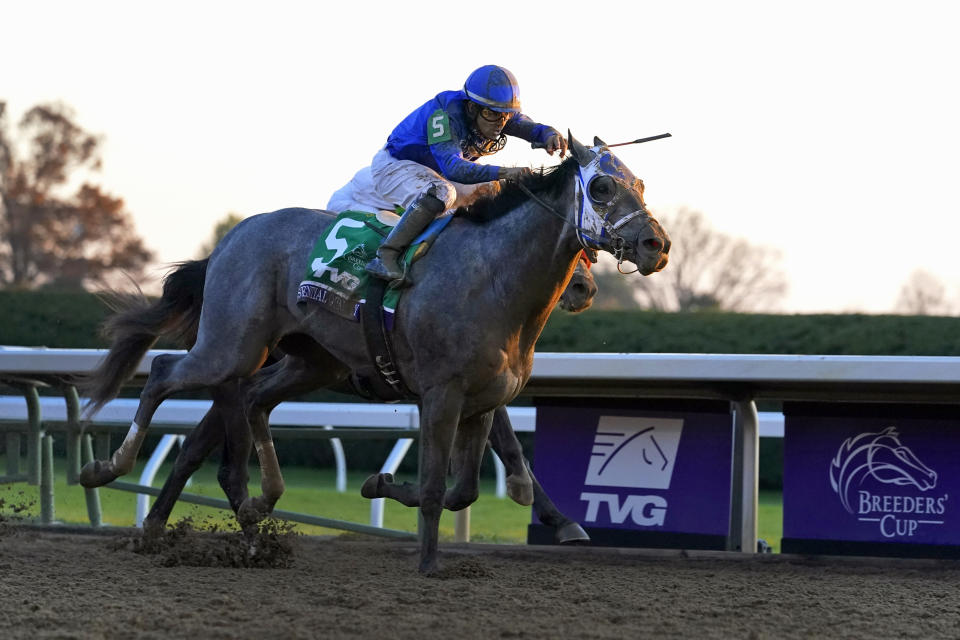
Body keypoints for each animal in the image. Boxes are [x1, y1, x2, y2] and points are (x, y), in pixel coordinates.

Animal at [80, 132, 668, 572]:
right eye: (602, 186)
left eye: (640, 184)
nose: (656, 246)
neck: (493, 278)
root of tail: (230, 239)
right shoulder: (442, 392)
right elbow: (438, 484)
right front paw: (430, 563)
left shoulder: (481, 400)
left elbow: (466, 489)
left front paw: (382, 482)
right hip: (230, 346)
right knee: (163, 373)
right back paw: (109, 470)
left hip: (303, 361)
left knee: (237, 415)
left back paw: (236, 520)